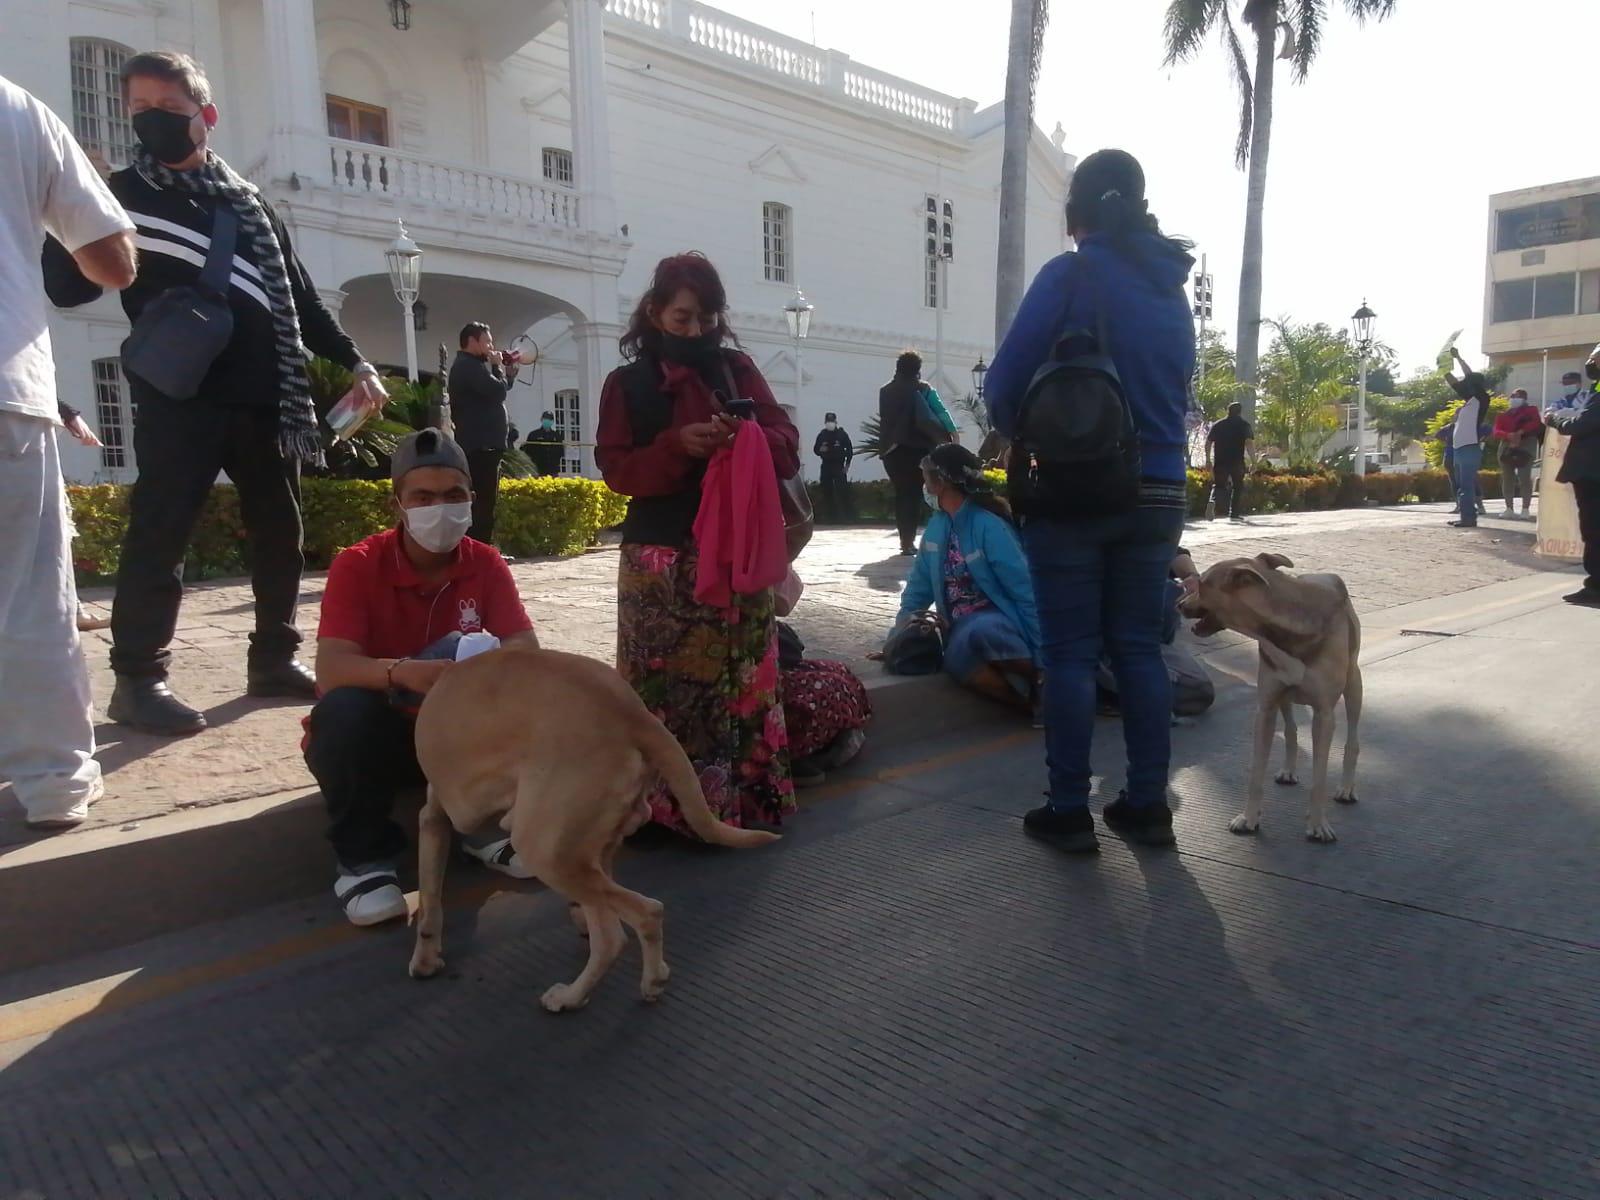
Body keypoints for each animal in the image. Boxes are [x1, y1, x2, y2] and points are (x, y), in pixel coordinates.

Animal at [403, 643, 771, 1011]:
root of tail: (632, 713)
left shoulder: (433, 819)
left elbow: (430, 903)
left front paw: (424, 959)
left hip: (544, 852)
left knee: (639, 918)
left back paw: (600, 990)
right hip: (579, 850)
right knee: (610, 929)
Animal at [1177, 556, 1363, 844]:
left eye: (1202, 583)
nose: (1179, 603)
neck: (1281, 629)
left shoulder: (1324, 715)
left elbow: (1319, 778)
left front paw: (1318, 824)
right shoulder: (1265, 707)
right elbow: (1256, 771)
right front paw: (1249, 818)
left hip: (1354, 684)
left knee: (1352, 739)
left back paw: (1345, 787)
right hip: (1283, 698)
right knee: (1291, 729)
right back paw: (1289, 769)